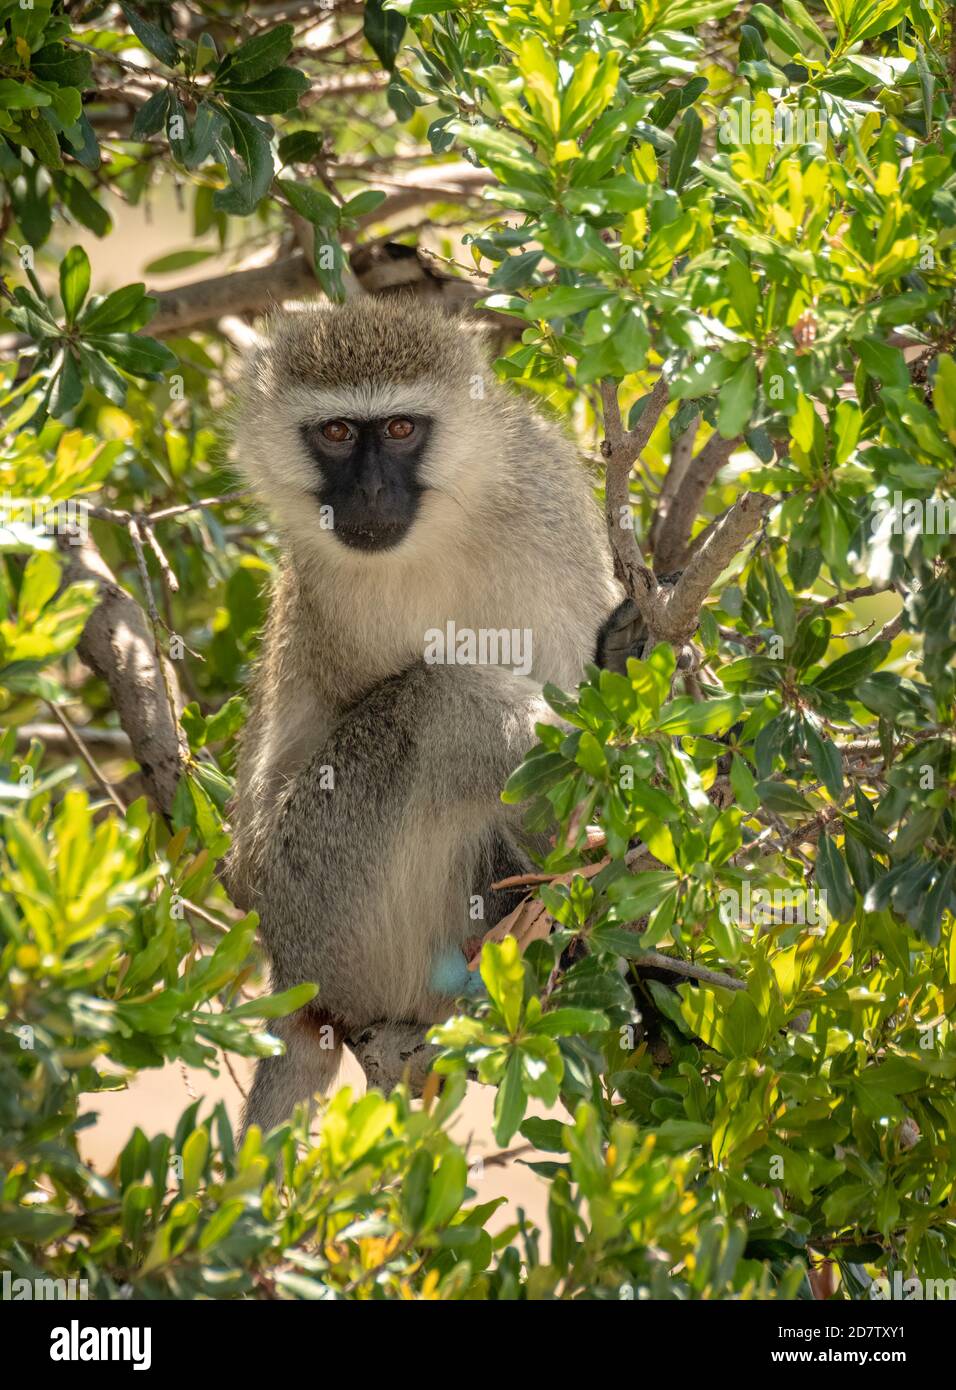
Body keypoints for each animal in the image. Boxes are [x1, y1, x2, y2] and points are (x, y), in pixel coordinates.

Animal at [224, 294, 649, 1136]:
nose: (369, 497)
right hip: (325, 908)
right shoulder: (329, 594)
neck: (439, 534)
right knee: (439, 703)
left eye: (398, 428)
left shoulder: (546, 491)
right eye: (335, 432)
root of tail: (292, 980)